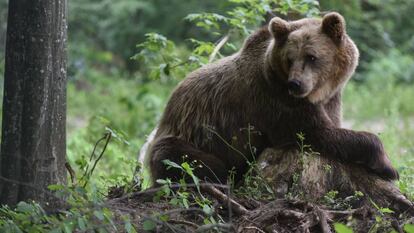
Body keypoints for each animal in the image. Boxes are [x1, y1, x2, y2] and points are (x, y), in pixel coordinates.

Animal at [145, 12, 398, 185]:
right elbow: (318, 134)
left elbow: (330, 126)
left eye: (311, 56)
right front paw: (388, 166)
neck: (318, 92)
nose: (295, 83)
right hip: (185, 137)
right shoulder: (276, 102)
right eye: (290, 58)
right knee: (182, 159)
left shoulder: (330, 99)